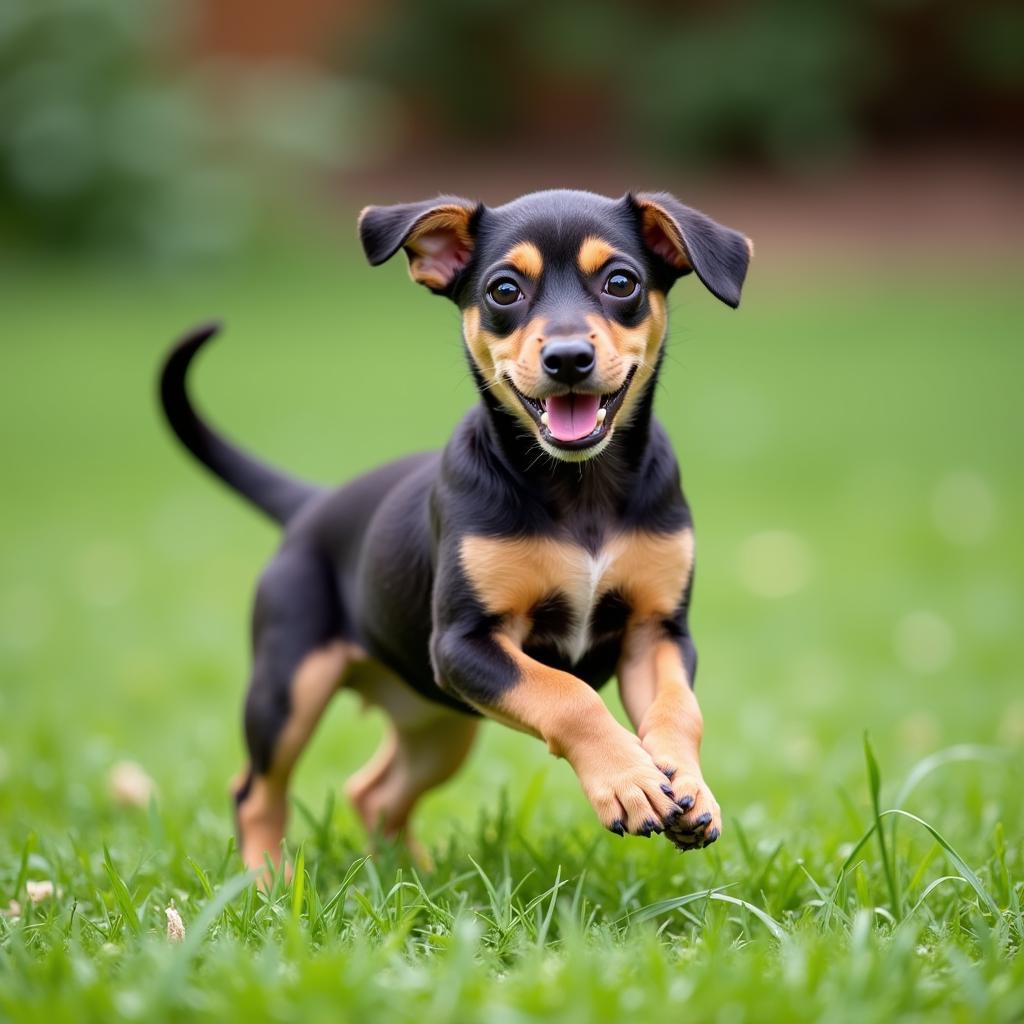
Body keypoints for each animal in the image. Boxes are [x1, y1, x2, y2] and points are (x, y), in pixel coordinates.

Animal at [159, 188, 753, 868]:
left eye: (621, 282)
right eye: (504, 290)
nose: (568, 359)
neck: (580, 488)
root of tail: (313, 504)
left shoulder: (657, 632)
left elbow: (680, 709)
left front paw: (690, 787)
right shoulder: (465, 643)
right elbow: (569, 696)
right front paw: (630, 782)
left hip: (439, 719)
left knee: (375, 791)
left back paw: (409, 875)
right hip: (289, 686)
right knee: (255, 792)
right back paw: (268, 881)